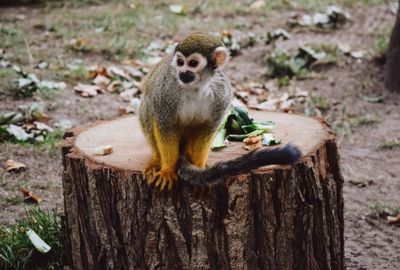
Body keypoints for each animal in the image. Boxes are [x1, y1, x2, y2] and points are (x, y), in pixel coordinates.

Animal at [138, 32, 300, 191]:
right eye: (180, 62)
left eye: (192, 63)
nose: (182, 72)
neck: (195, 87)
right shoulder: (167, 89)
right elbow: (165, 125)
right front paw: (168, 170)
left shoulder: (222, 93)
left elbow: (208, 128)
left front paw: (198, 167)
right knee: (148, 105)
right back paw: (157, 159)